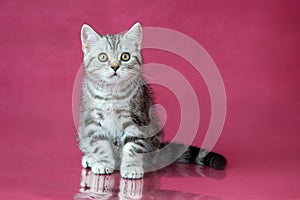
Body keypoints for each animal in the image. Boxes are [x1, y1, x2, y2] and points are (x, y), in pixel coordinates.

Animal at [78, 22, 226, 179]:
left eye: (125, 56)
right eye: (102, 57)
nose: (115, 66)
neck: (112, 92)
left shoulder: (138, 118)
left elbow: (133, 145)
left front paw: (131, 166)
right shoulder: (92, 119)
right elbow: (100, 144)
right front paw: (103, 162)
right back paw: (91, 158)